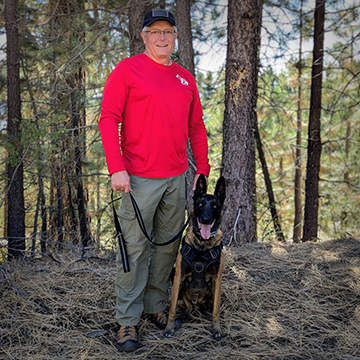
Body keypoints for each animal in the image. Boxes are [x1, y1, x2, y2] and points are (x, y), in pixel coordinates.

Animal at [165, 174, 225, 340]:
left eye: (215, 206)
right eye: (200, 204)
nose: (205, 219)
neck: (202, 245)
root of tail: (196, 301)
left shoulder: (217, 278)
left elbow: (216, 309)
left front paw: (216, 328)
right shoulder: (179, 276)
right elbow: (172, 308)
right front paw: (169, 327)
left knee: (207, 304)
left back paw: (204, 309)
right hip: (174, 276)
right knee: (187, 305)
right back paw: (185, 313)